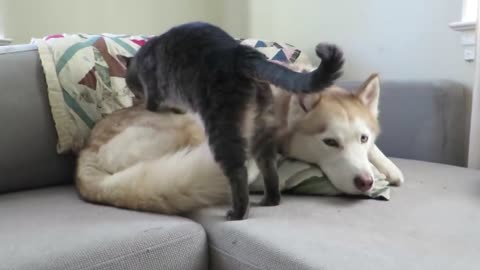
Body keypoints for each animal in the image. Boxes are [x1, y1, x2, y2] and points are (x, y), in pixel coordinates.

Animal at [77, 71, 404, 215]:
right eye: (330, 142)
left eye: (362, 138)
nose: (364, 182)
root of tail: (86, 151)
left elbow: (377, 151)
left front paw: (388, 168)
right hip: (189, 124)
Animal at [122, 21, 344, 219]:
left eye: (129, 82)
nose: (133, 94)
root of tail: (239, 52)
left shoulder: (154, 95)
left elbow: (155, 105)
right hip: (261, 126)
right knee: (268, 165)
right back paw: (270, 200)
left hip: (222, 127)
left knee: (238, 172)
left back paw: (238, 212)